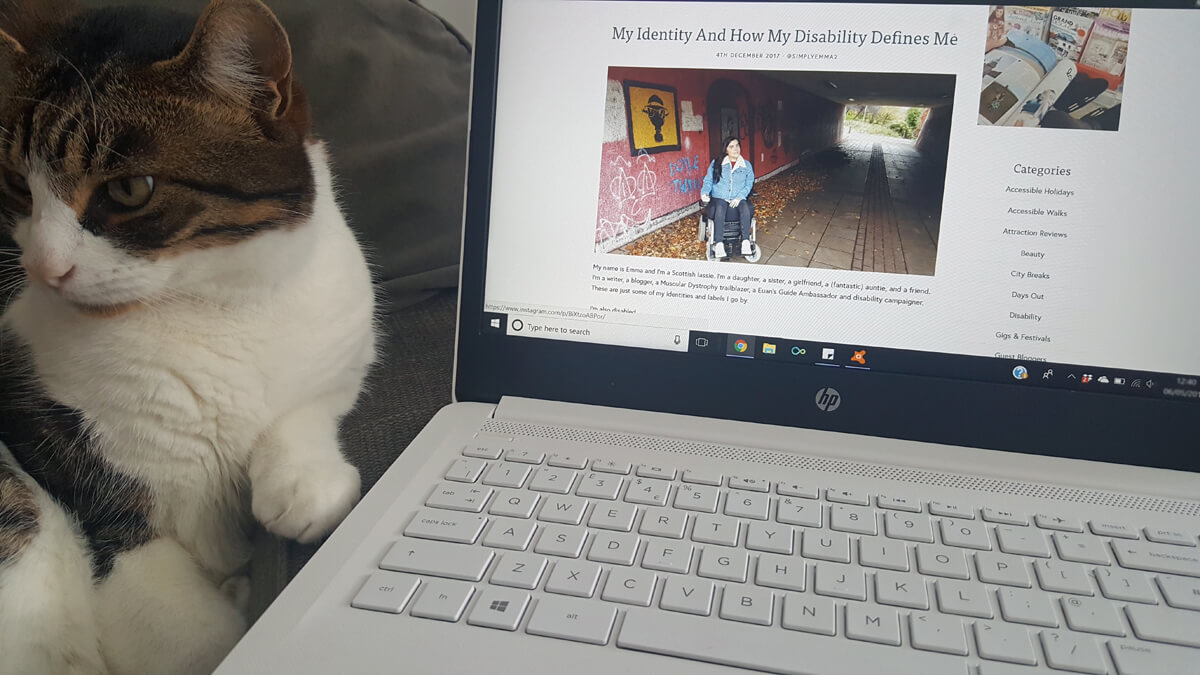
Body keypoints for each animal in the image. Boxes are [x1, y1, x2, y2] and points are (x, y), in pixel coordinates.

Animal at [0, 1, 376, 667]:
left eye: (128, 189)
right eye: (18, 184)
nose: (44, 269)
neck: (217, 308)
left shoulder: (345, 339)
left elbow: (311, 402)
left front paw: (303, 485)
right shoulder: (79, 479)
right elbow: (199, 638)